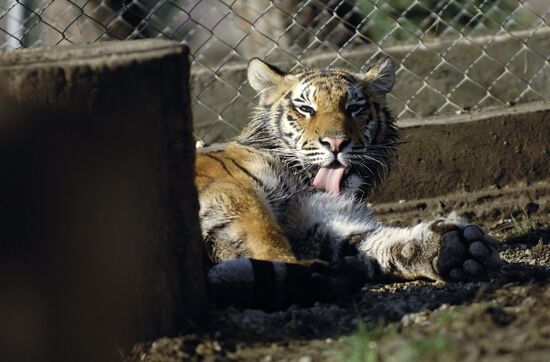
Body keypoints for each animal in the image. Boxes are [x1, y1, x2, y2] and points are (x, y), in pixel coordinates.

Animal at [198, 57, 504, 312]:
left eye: (354, 108)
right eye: (306, 109)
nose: (336, 143)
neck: (302, 181)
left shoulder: (314, 225)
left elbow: (368, 239)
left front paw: (456, 249)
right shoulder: (232, 193)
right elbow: (266, 237)